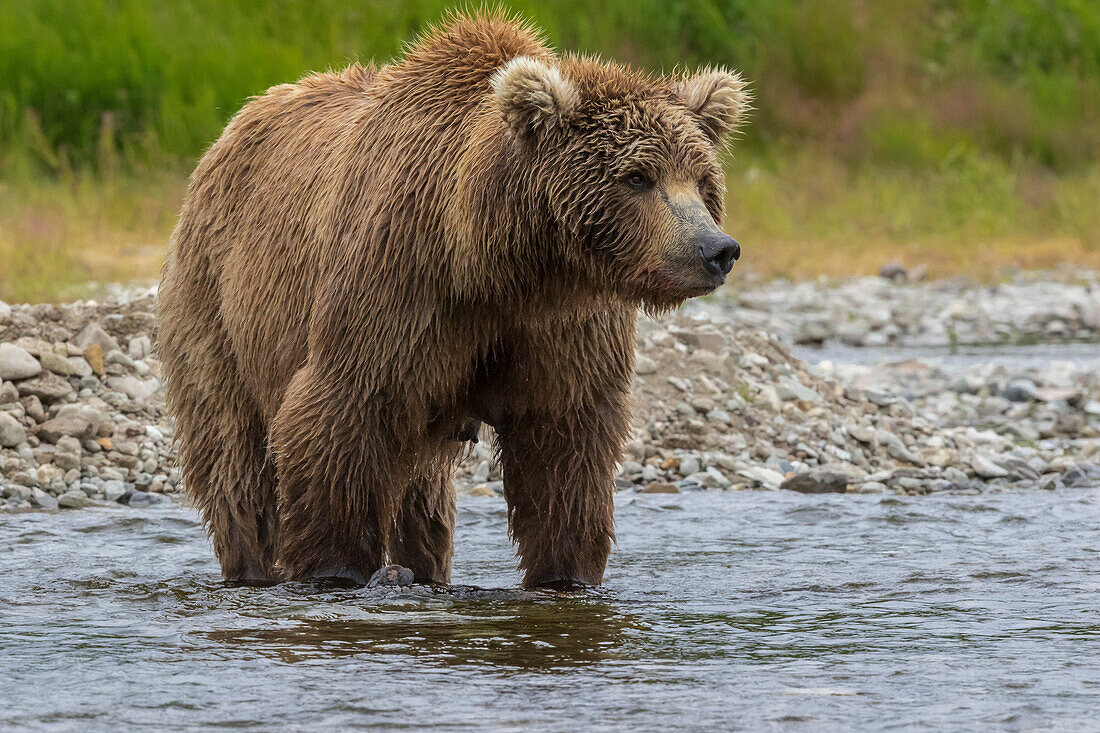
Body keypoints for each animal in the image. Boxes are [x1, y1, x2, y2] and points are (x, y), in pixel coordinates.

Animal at [157, 12, 748, 589]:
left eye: (702, 179)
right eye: (638, 177)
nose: (715, 249)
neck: (500, 267)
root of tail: (233, 128)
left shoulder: (562, 324)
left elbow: (564, 448)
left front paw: (566, 573)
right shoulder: (400, 286)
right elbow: (343, 415)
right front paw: (335, 567)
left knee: (422, 492)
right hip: (218, 305)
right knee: (234, 454)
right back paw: (252, 563)